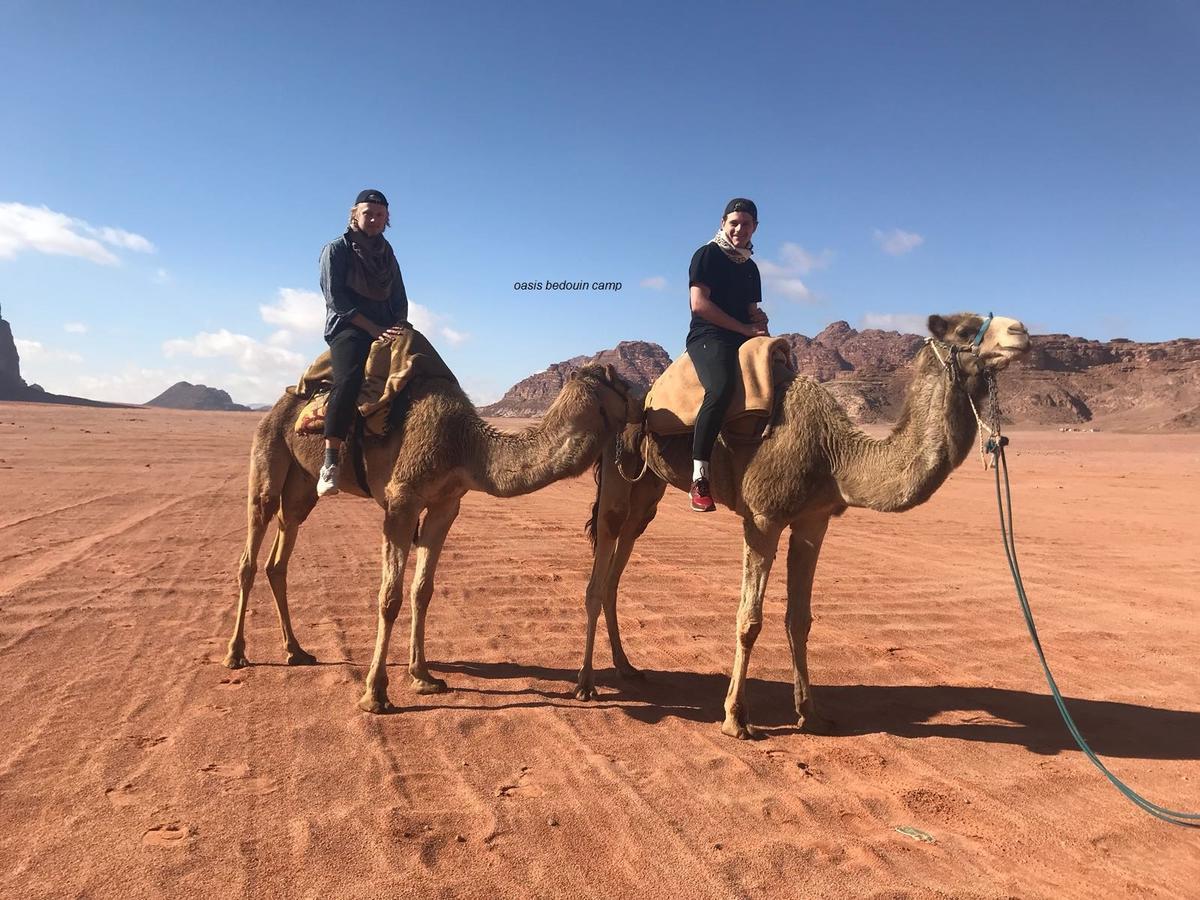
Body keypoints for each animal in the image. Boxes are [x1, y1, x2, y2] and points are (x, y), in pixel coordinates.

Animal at [225, 360, 638, 710]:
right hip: (267, 460)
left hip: (302, 488)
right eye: (622, 384)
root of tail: (279, 403)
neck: (467, 447)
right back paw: (236, 654)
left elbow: (422, 590)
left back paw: (296, 651)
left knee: (279, 556)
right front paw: (375, 694)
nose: (642, 407)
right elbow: (389, 597)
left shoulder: (446, 505)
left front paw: (423, 676)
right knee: (251, 552)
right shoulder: (401, 501)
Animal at [576, 312, 1027, 739]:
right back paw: (586, 683)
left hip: (647, 491)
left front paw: (811, 714)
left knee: (618, 565)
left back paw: (627, 668)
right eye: (963, 328)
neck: (833, 454)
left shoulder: (814, 520)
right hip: (617, 473)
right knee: (601, 566)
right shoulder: (763, 517)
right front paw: (736, 719)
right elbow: (749, 620)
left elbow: (800, 618)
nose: (1020, 331)